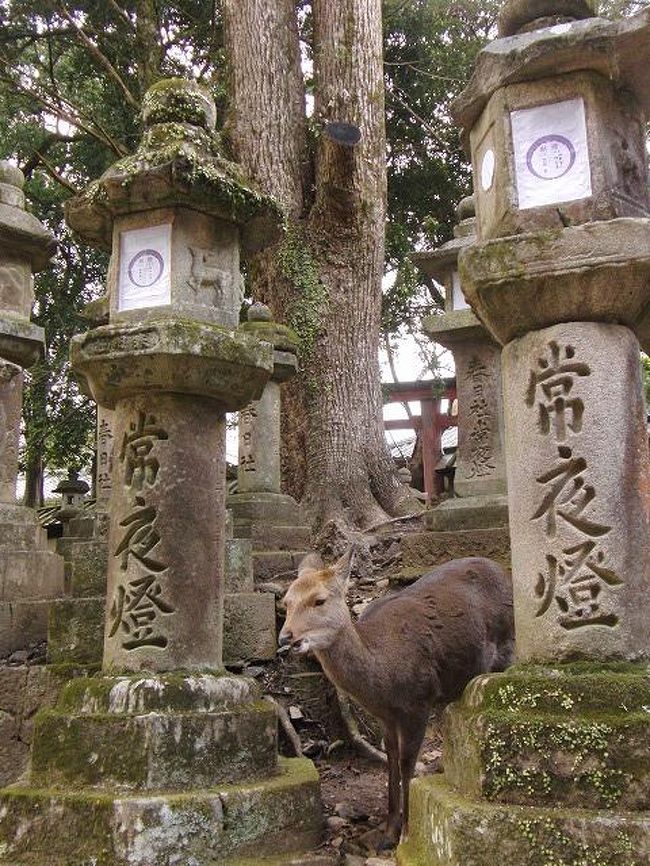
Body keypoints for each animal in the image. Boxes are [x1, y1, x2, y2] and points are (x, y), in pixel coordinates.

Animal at [279, 549, 514, 848]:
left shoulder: (418, 702)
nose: (286, 637)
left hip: (507, 650)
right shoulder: (386, 716)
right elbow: (390, 763)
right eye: (286, 602)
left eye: (319, 600)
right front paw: (387, 831)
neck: (383, 680)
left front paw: (406, 831)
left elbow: (406, 763)